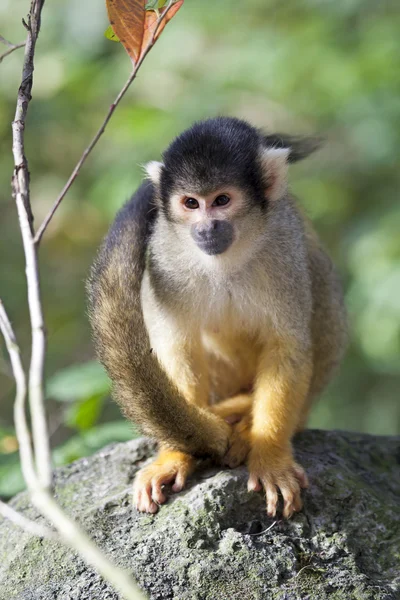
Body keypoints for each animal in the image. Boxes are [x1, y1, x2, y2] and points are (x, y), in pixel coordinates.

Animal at [86, 118, 346, 520]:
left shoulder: (283, 247)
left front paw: (270, 455)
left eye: (222, 200)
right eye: (191, 203)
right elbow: (178, 347)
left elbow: (286, 347)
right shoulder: (164, 256)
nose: (206, 228)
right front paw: (174, 455)